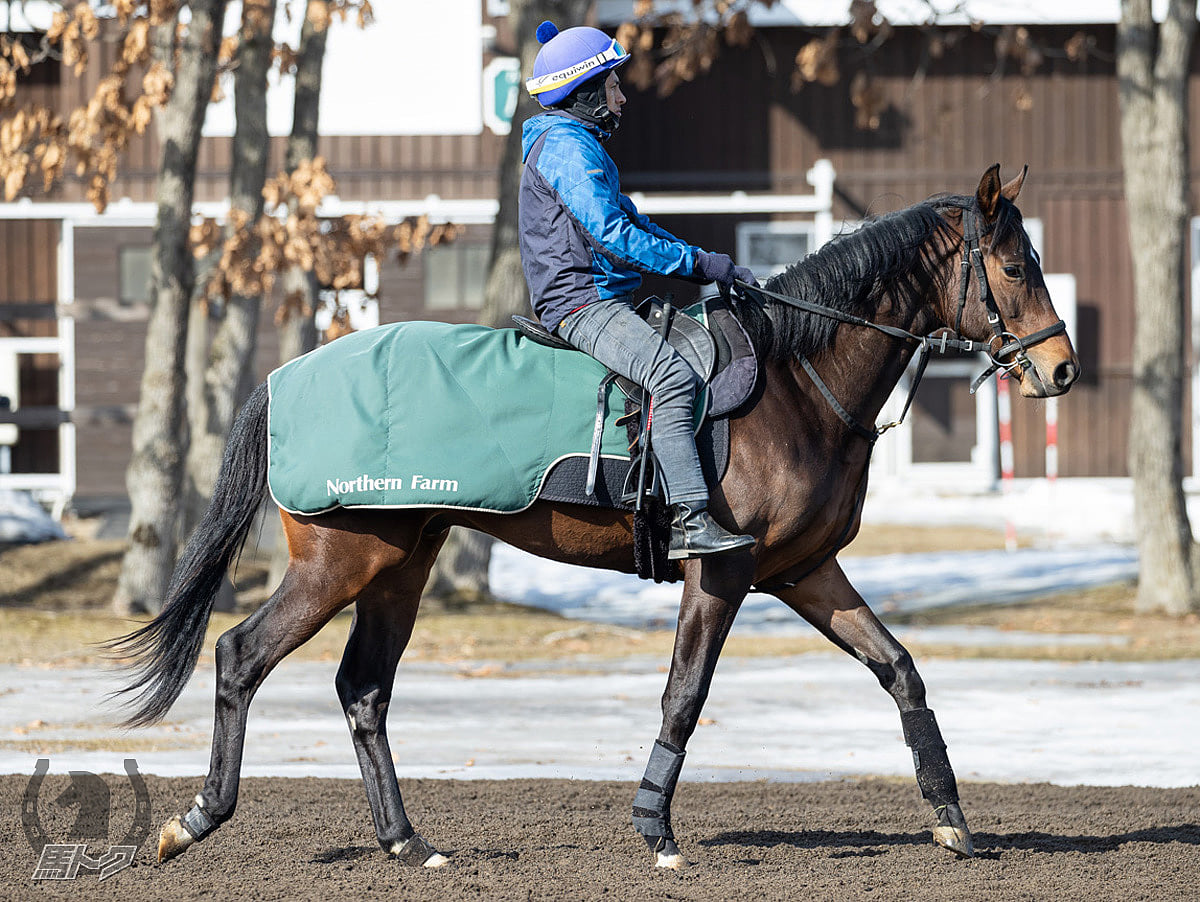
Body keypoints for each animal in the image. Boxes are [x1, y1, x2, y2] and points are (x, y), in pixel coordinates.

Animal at [117, 165, 1084, 868]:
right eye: (1012, 267)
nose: (1062, 369)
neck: (794, 380)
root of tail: (288, 377)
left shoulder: (806, 572)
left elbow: (901, 670)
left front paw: (952, 816)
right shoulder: (723, 569)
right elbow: (685, 695)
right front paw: (656, 827)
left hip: (402, 565)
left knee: (363, 690)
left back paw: (408, 842)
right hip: (340, 563)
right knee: (242, 656)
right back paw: (195, 819)